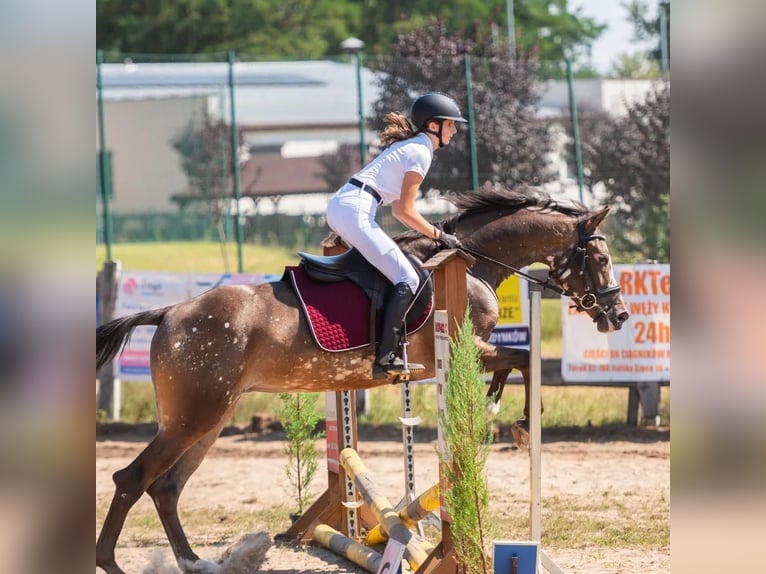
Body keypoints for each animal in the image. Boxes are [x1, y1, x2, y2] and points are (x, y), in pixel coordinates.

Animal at [95, 185, 628, 573]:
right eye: (601, 260)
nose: (618, 316)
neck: (474, 261)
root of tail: (169, 313)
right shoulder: (468, 347)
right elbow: (521, 357)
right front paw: (520, 421)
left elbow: (515, 362)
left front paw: (501, 406)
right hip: (194, 416)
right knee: (133, 479)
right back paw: (113, 564)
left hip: (210, 419)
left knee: (166, 487)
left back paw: (194, 562)